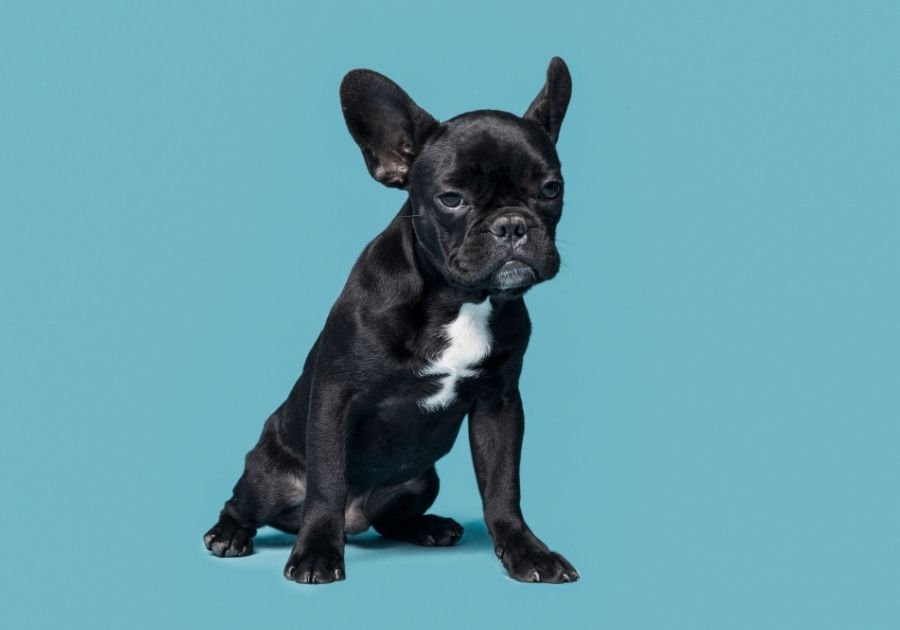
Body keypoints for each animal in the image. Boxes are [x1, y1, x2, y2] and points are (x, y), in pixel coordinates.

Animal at [205, 56, 580, 584]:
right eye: (451, 199)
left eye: (551, 189)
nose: (511, 224)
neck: (459, 299)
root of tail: (356, 519)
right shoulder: (335, 397)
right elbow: (327, 481)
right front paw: (317, 552)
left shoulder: (500, 405)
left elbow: (503, 487)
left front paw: (527, 551)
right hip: (267, 476)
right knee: (246, 502)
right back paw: (230, 533)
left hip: (421, 480)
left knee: (389, 520)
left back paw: (428, 526)